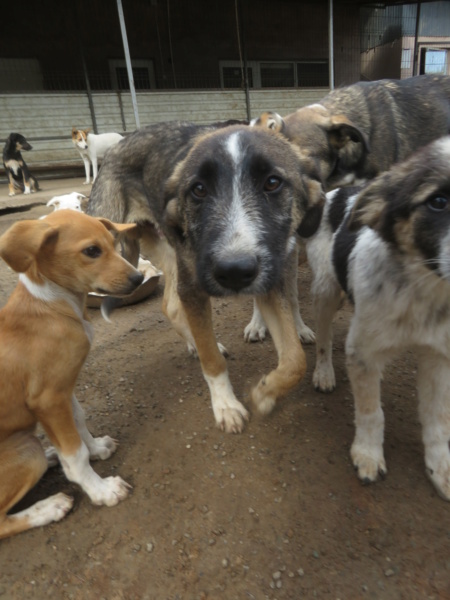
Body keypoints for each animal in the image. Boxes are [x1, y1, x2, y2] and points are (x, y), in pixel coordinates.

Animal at [0, 211, 142, 540]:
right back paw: (49, 507)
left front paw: (97, 448)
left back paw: (52, 456)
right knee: (1, 522)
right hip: (26, 449)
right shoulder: (48, 400)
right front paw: (101, 490)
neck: (52, 305)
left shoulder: (64, 389)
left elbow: (79, 421)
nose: (139, 278)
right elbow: (75, 455)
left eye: (113, 242)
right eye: (92, 251)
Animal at [88, 122, 326, 432]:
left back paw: (194, 343)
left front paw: (265, 393)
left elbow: (296, 360)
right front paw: (226, 405)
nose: (234, 271)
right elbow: (212, 361)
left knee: (170, 305)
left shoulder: (269, 282)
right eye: (198, 189)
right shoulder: (195, 285)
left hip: (170, 248)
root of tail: (117, 146)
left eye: (273, 183)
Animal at [308, 137, 450, 502]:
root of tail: (339, 192)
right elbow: (372, 412)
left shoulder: (439, 357)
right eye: (438, 202)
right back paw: (324, 372)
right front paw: (368, 455)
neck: (421, 291)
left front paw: (441, 467)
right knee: (324, 337)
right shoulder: (363, 354)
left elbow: (438, 418)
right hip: (325, 289)